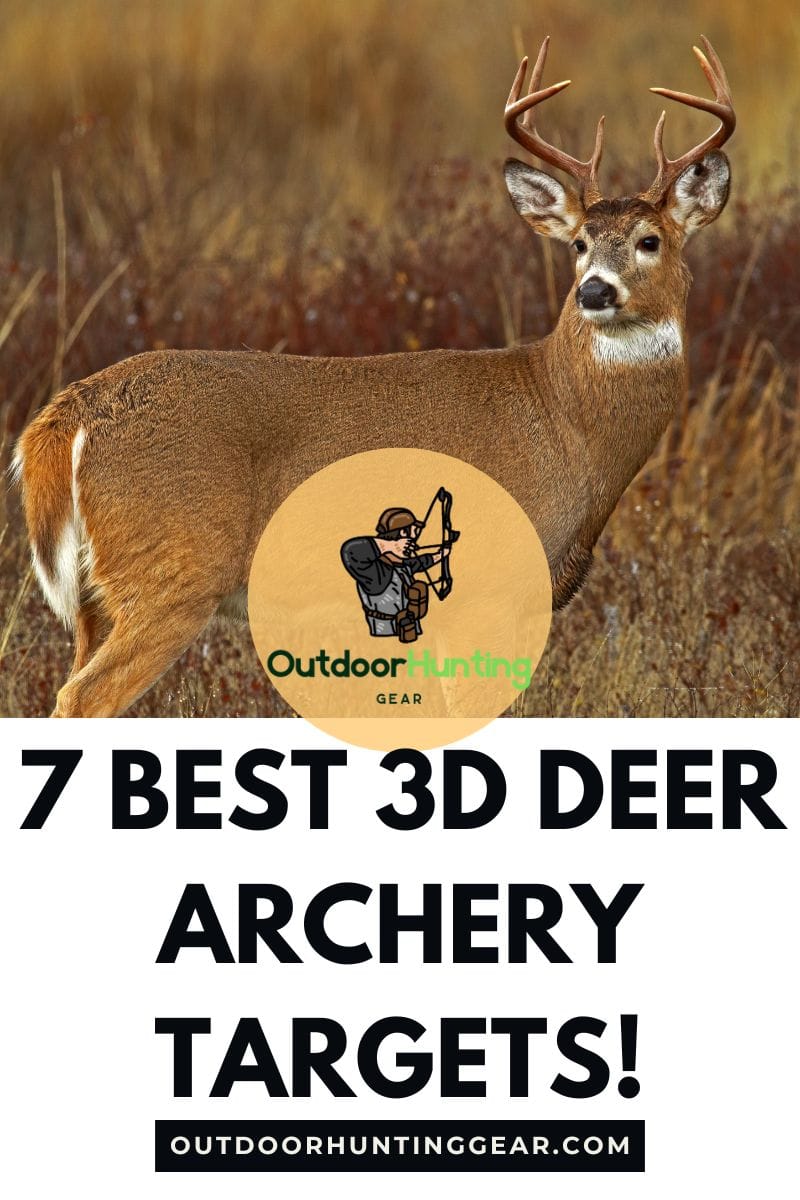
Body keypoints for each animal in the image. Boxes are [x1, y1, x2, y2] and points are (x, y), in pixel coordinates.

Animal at [12, 36, 735, 717]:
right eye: (579, 243)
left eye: (650, 240)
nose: (593, 291)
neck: (561, 419)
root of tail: (66, 418)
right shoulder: (488, 591)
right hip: (173, 572)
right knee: (81, 698)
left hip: (96, 596)